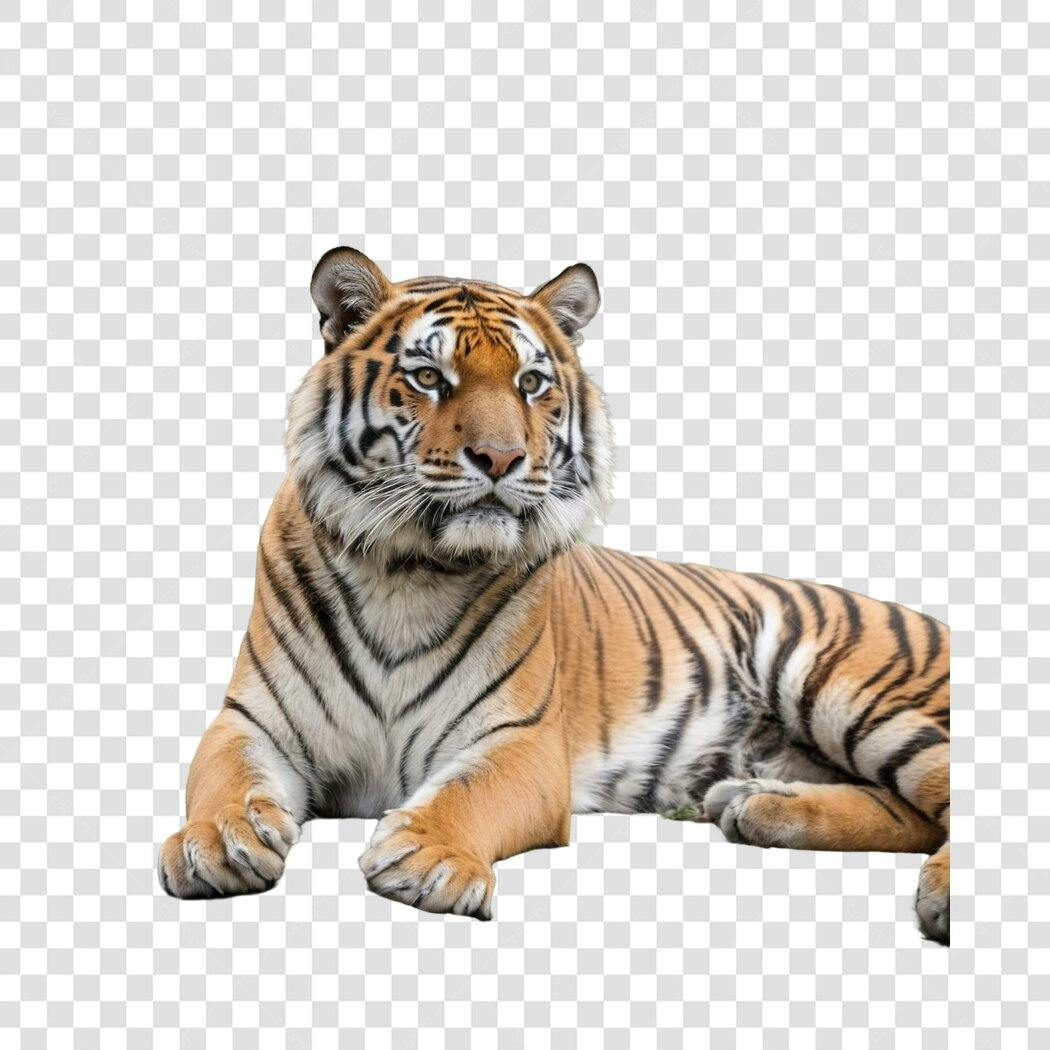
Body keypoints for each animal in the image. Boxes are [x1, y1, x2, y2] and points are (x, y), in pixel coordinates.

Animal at [157, 247, 950, 945]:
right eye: (428, 376)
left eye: (532, 384)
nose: (501, 458)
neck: (408, 572)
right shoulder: (253, 721)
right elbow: (224, 779)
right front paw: (215, 842)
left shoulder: (522, 742)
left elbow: (466, 793)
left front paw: (430, 861)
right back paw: (756, 805)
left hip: (850, 685)